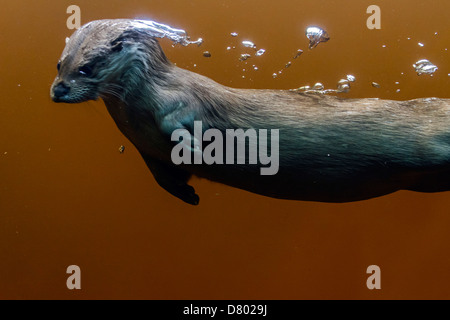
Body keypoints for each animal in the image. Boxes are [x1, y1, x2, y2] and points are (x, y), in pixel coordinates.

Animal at [51, 19, 450, 205]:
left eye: (86, 68)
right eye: (59, 63)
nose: (58, 90)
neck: (136, 109)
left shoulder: (181, 97)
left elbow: (182, 119)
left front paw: (194, 147)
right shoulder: (145, 149)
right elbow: (163, 175)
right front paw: (187, 192)